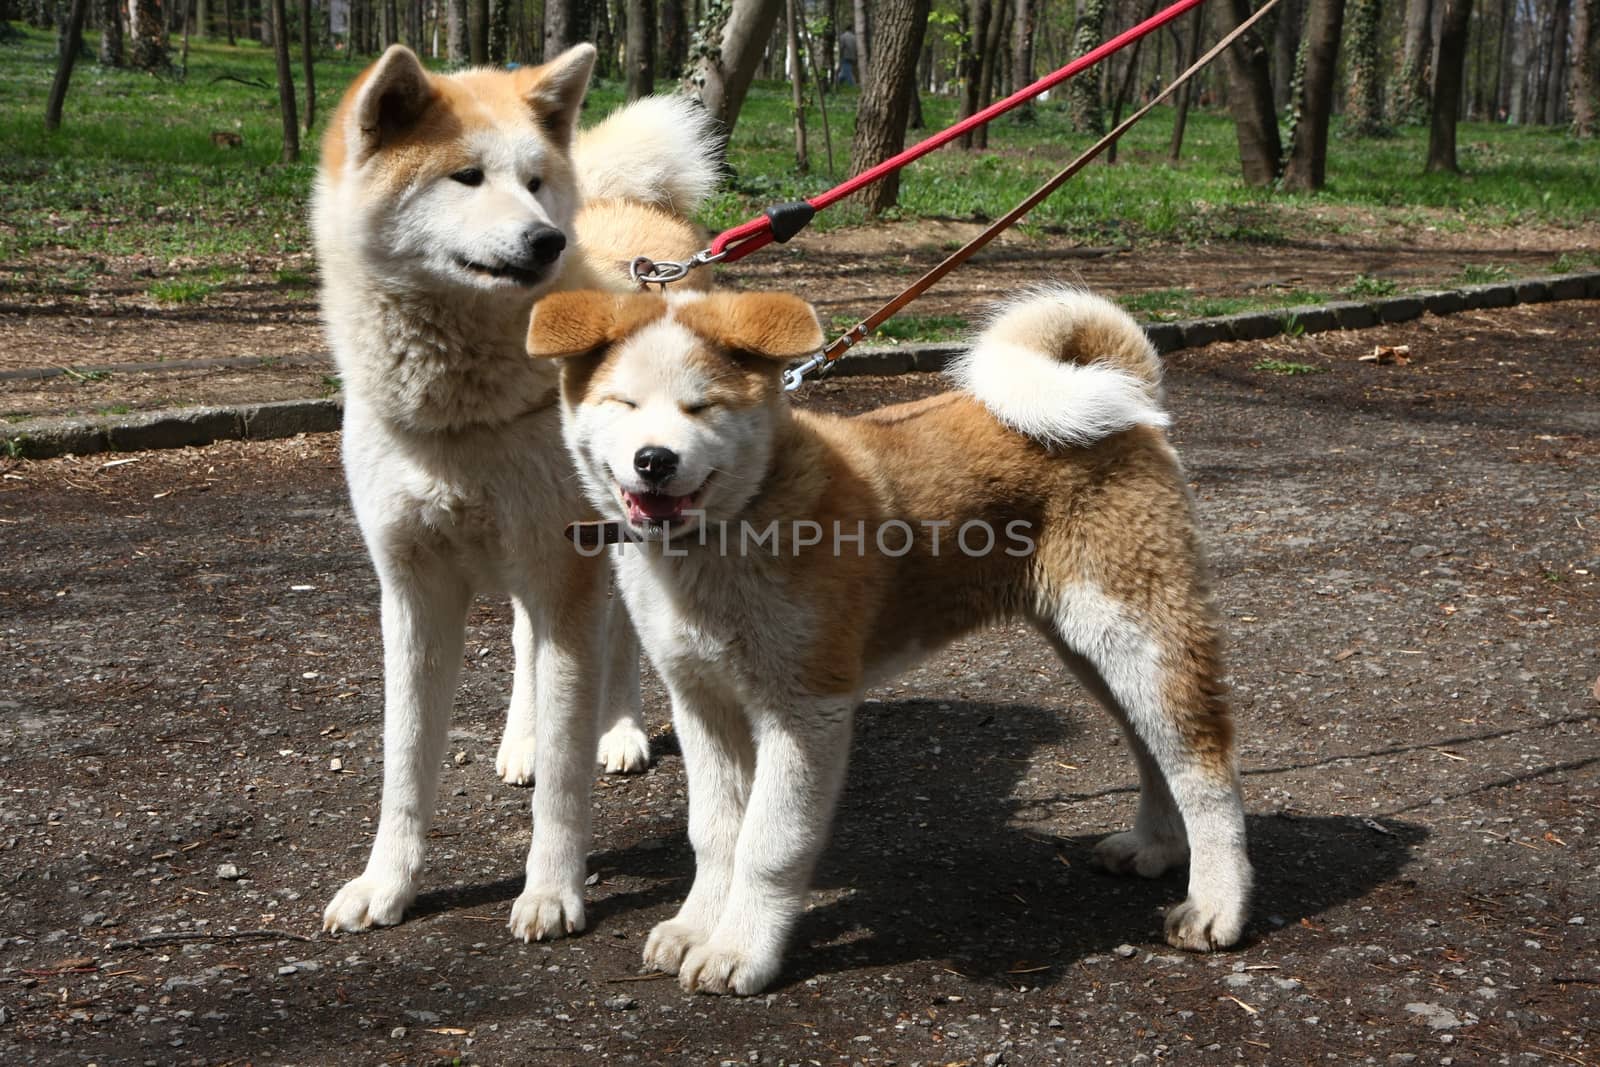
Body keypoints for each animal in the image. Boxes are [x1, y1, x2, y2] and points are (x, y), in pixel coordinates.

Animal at [318, 43, 720, 940]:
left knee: (617, 641)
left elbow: (568, 779)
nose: (546, 239)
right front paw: (385, 883)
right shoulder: (414, 590)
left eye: (534, 181)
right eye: (466, 177)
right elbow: (405, 764)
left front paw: (551, 890)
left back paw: (619, 729)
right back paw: (522, 739)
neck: (461, 414)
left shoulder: (563, 565)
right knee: (525, 641)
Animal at [531, 287, 1254, 998]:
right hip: (1096, 650)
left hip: (1137, 635)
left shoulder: (807, 708)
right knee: (1154, 749)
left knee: (1204, 764)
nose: (655, 460)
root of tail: (1130, 404)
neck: (735, 526)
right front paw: (695, 926)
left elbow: (769, 844)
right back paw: (1156, 847)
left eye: (701, 406)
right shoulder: (703, 702)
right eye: (623, 404)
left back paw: (1216, 905)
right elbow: (714, 834)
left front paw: (741, 949)